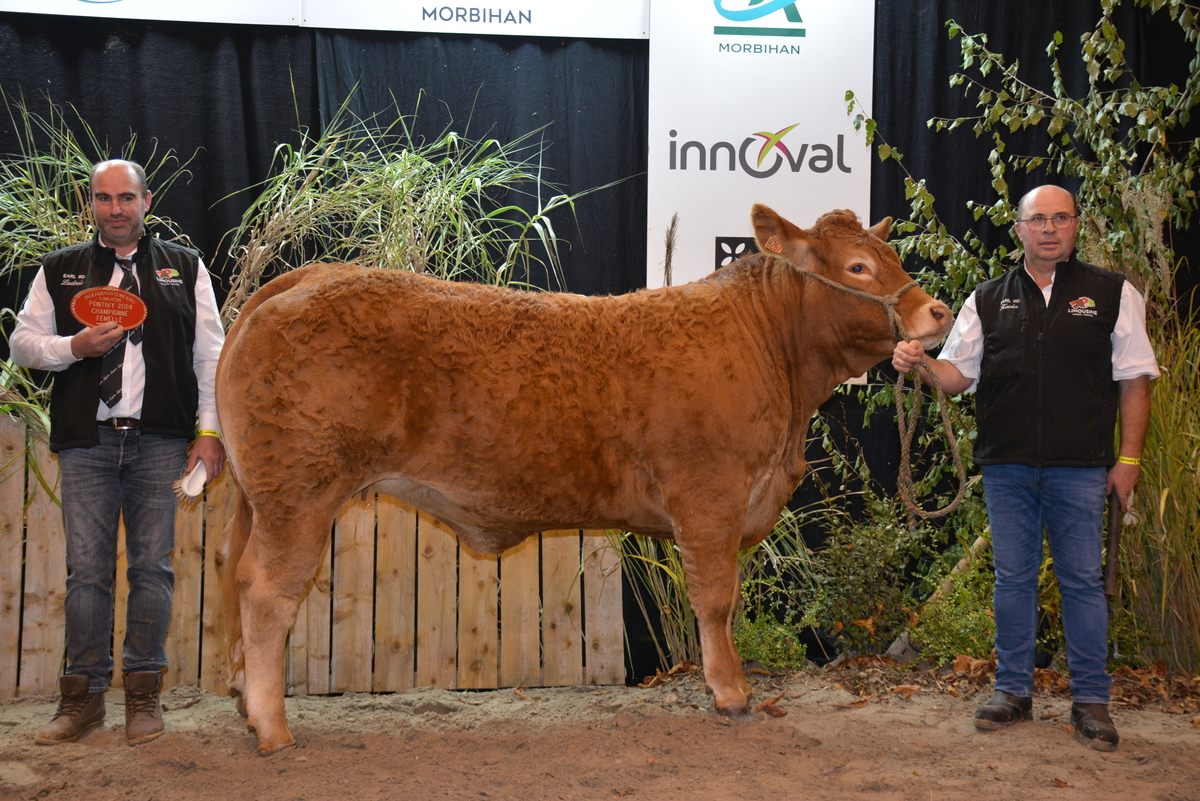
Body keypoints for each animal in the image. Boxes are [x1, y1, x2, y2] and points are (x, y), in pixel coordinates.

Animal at [213, 203, 945, 753]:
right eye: (857, 267)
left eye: (892, 256)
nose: (935, 312)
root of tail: (299, 279)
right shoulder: (710, 497)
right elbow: (716, 600)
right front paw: (732, 693)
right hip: (300, 494)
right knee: (266, 592)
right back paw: (273, 728)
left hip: (261, 498)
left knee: (238, 575)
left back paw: (247, 702)